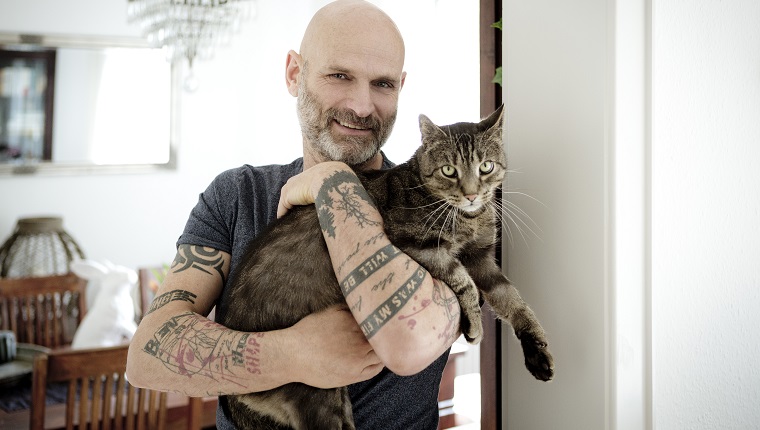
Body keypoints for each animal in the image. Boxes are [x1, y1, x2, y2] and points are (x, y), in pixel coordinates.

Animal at [220, 105, 552, 430]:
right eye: (449, 170)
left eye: (486, 167)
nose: (471, 195)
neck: (468, 218)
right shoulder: (417, 245)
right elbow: (463, 281)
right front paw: (474, 326)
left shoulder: (481, 258)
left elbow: (513, 299)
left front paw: (537, 350)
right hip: (317, 391)